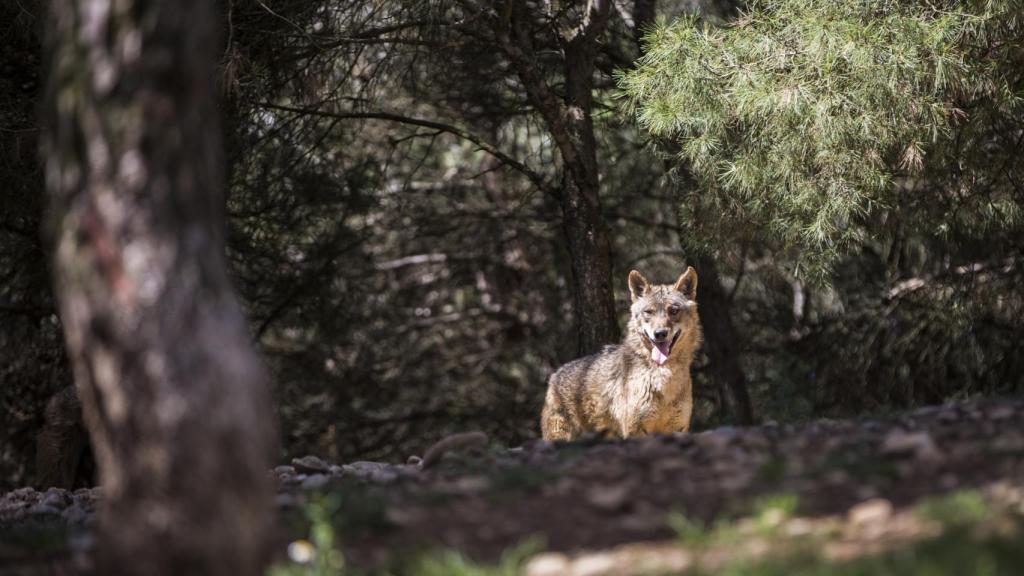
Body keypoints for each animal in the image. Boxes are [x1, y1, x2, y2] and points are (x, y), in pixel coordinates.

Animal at [540, 266, 700, 436]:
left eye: (673, 311)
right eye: (648, 312)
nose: (660, 333)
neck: (662, 376)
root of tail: (555, 375)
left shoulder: (678, 429)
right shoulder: (635, 430)